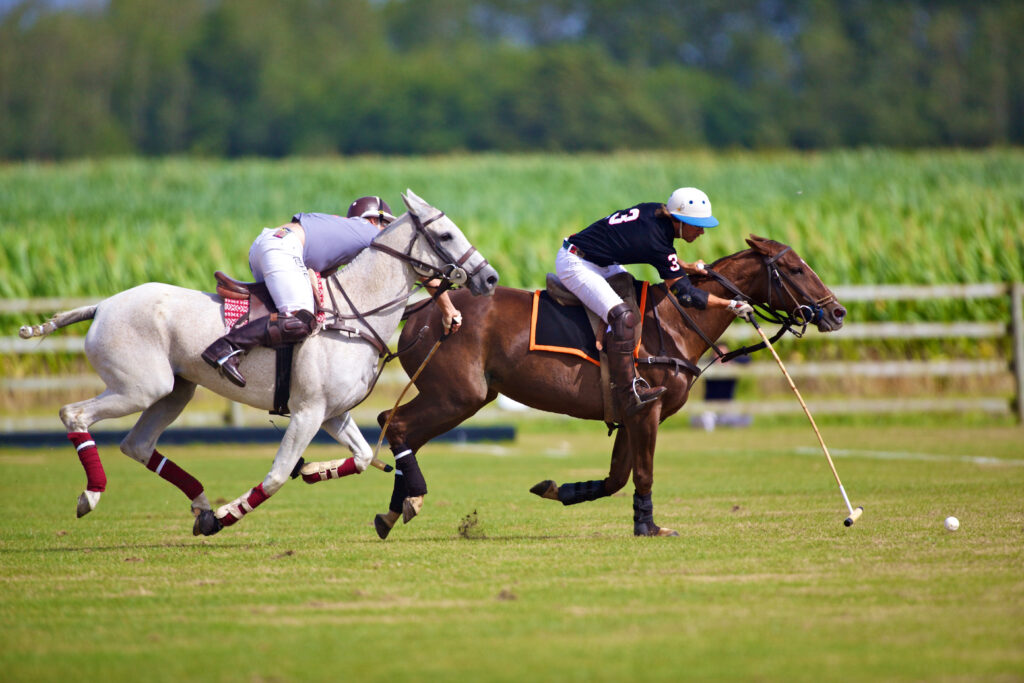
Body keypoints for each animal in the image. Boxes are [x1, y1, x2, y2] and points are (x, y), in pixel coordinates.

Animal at [19, 189, 499, 536]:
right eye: (447, 235)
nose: (490, 278)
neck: (354, 314)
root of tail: (100, 305)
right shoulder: (307, 412)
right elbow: (277, 475)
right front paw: (231, 514)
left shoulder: (332, 412)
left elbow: (363, 457)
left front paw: (315, 471)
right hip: (138, 387)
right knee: (73, 413)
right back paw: (93, 495)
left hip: (173, 391)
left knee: (136, 444)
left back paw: (202, 506)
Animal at [372, 235, 843, 540]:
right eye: (795, 269)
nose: (837, 312)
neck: (674, 323)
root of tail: (422, 309)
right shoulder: (646, 410)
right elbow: (644, 472)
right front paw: (649, 527)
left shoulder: (630, 413)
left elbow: (617, 477)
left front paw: (559, 490)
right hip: (458, 396)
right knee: (394, 423)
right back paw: (408, 502)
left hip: (461, 396)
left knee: (394, 423)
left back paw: (393, 511)